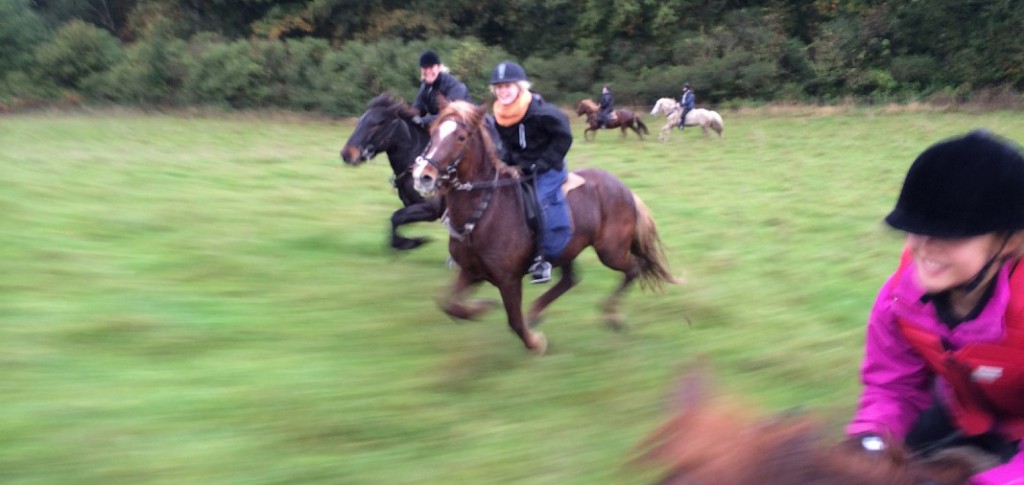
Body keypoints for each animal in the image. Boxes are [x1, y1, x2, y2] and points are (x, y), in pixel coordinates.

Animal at [339, 94, 444, 251]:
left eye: (376, 124)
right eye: (360, 121)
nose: (347, 154)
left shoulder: (430, 209)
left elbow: (395, 218)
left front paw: (413, 242)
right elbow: (397, 221)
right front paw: (408, 242)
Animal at [407, 100, 679, 354]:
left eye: (461, 137)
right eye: (432, 132)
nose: (423, 176)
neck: (485, 209)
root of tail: (625, 190)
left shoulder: (508, 280)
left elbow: (514, 321)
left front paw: (535, 342)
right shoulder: (470, 271)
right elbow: (448, 304)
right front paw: (482, 307)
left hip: (610, 251)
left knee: (634, 268)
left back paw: (611, 315)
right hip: (567, 249)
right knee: (570, 280)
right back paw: (536, 312)